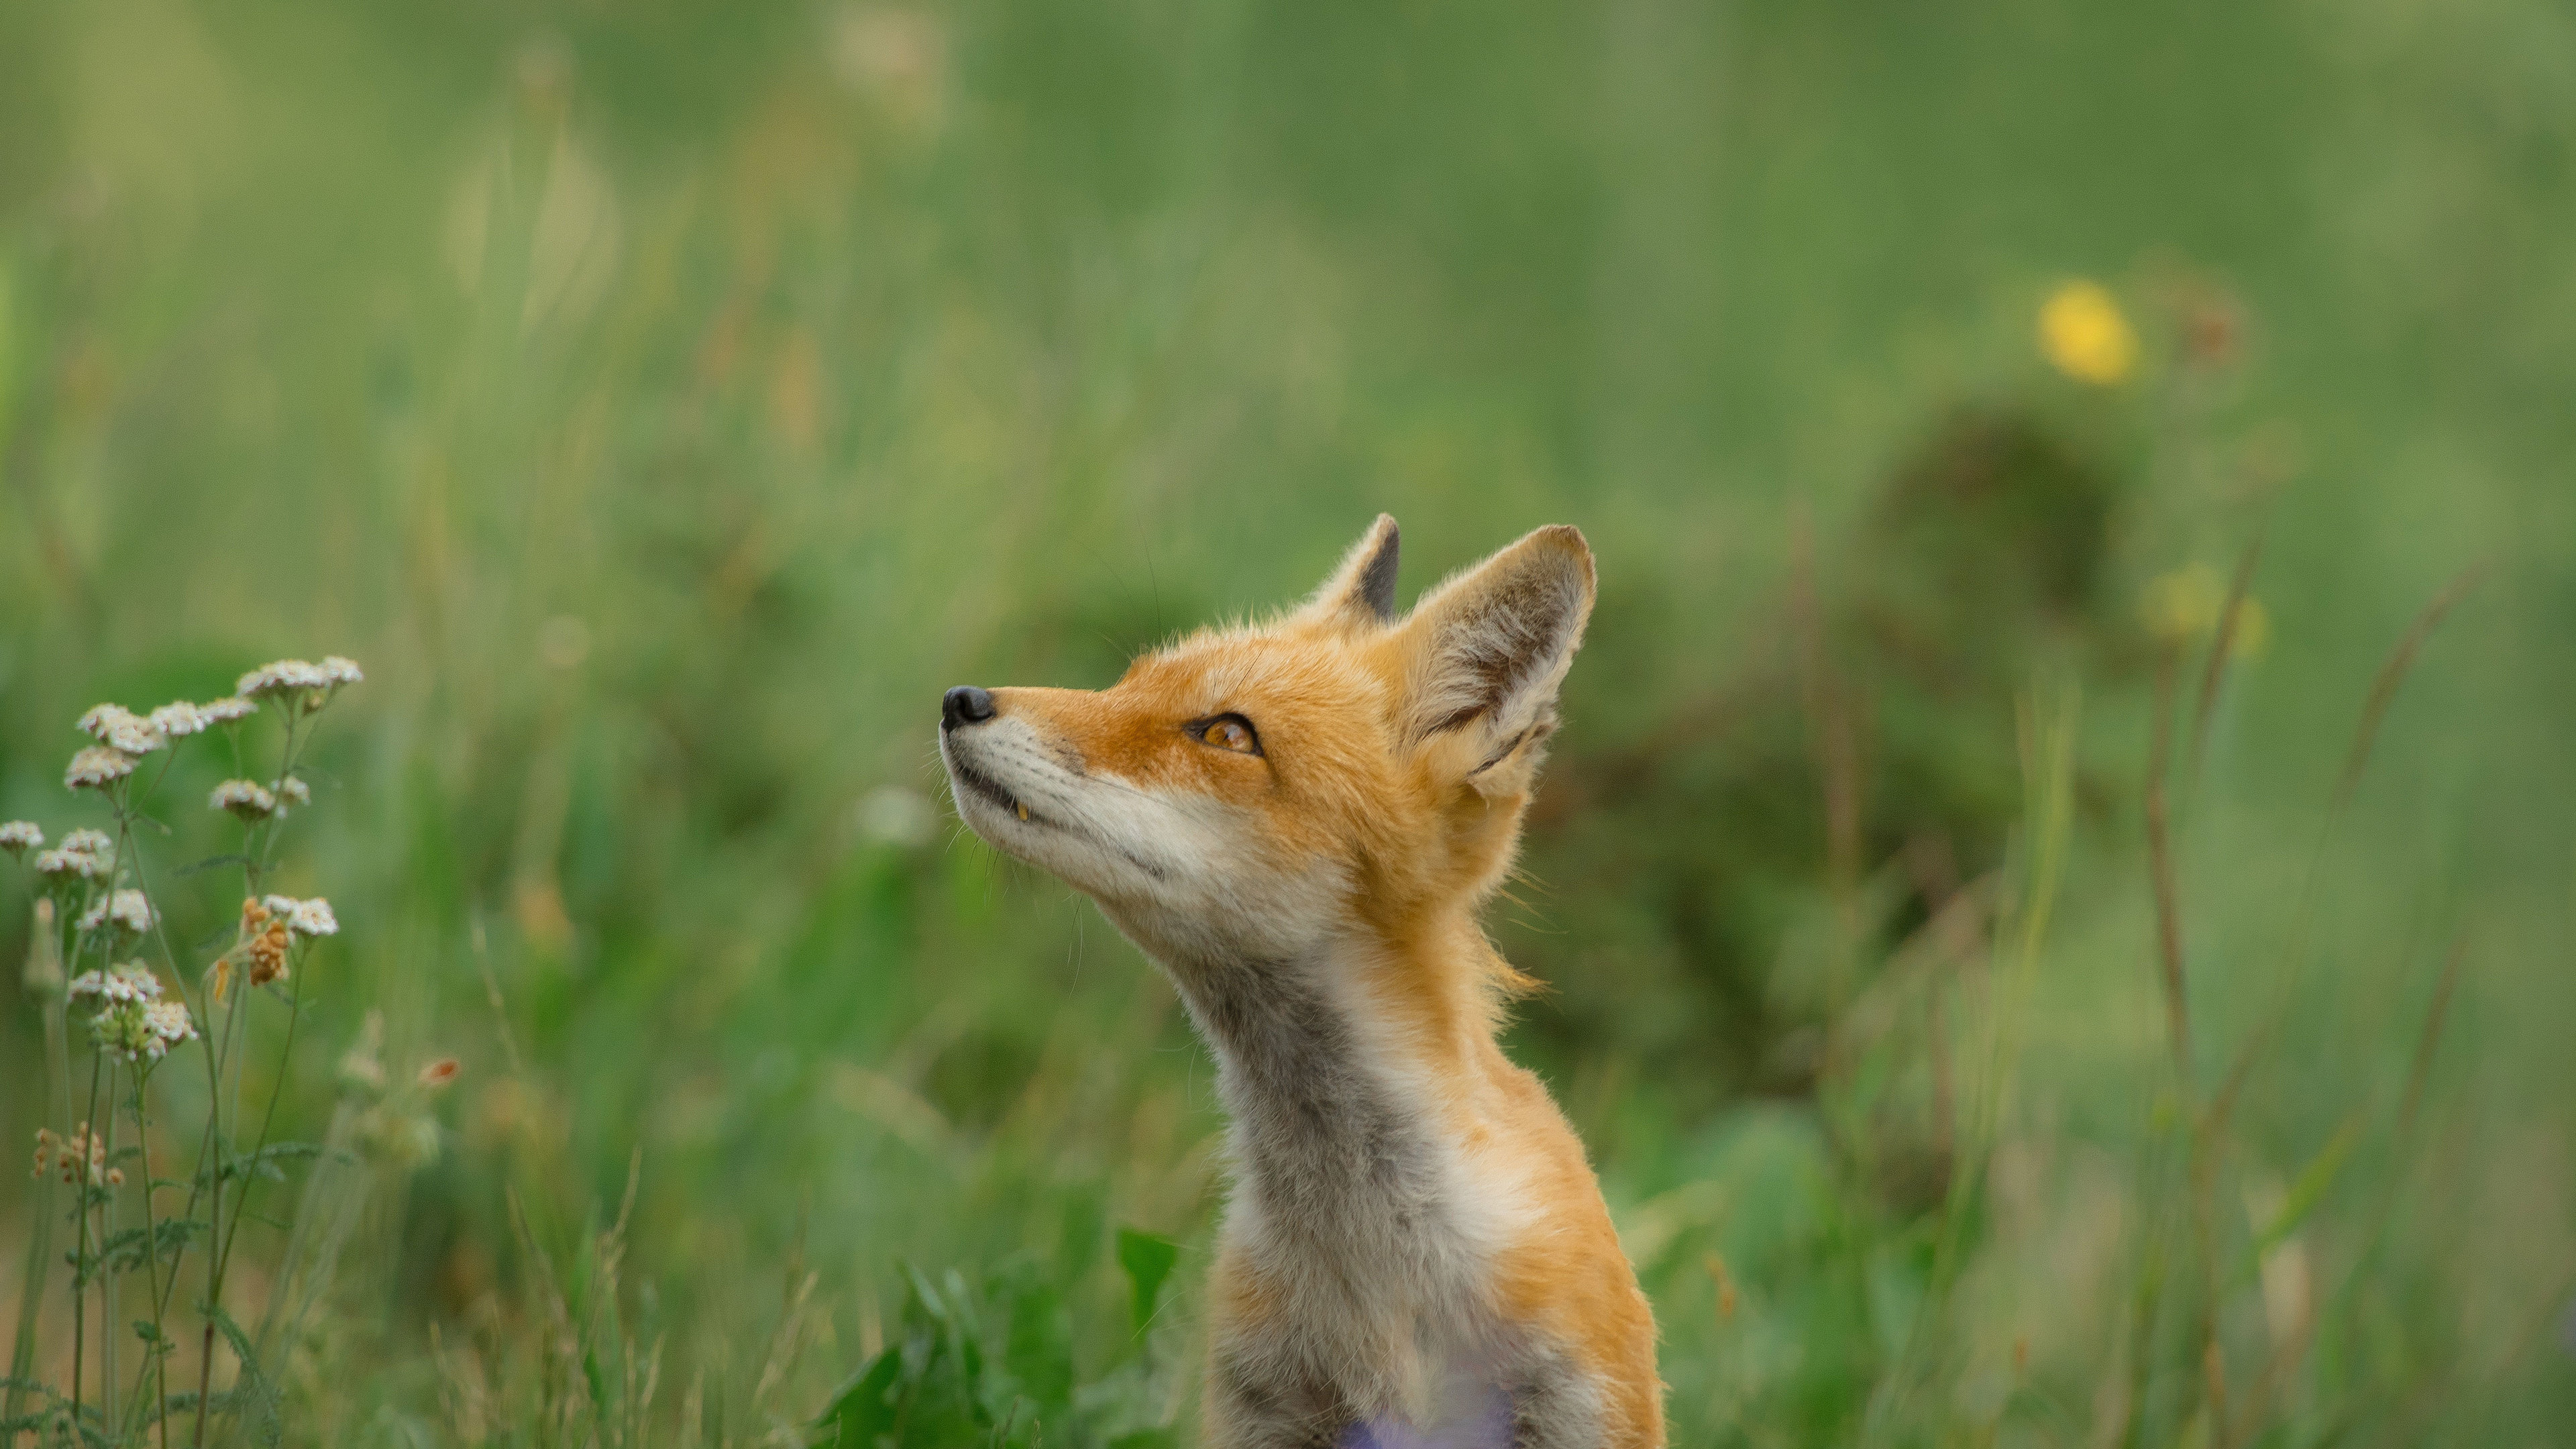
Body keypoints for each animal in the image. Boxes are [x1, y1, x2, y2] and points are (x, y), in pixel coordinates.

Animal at [937, 517, 1663, 1448]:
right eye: (1127, 684)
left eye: (1227, 734)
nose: (960, 700)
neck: (1376, 1272)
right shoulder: (1263, 1408)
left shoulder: (1582, 1402)